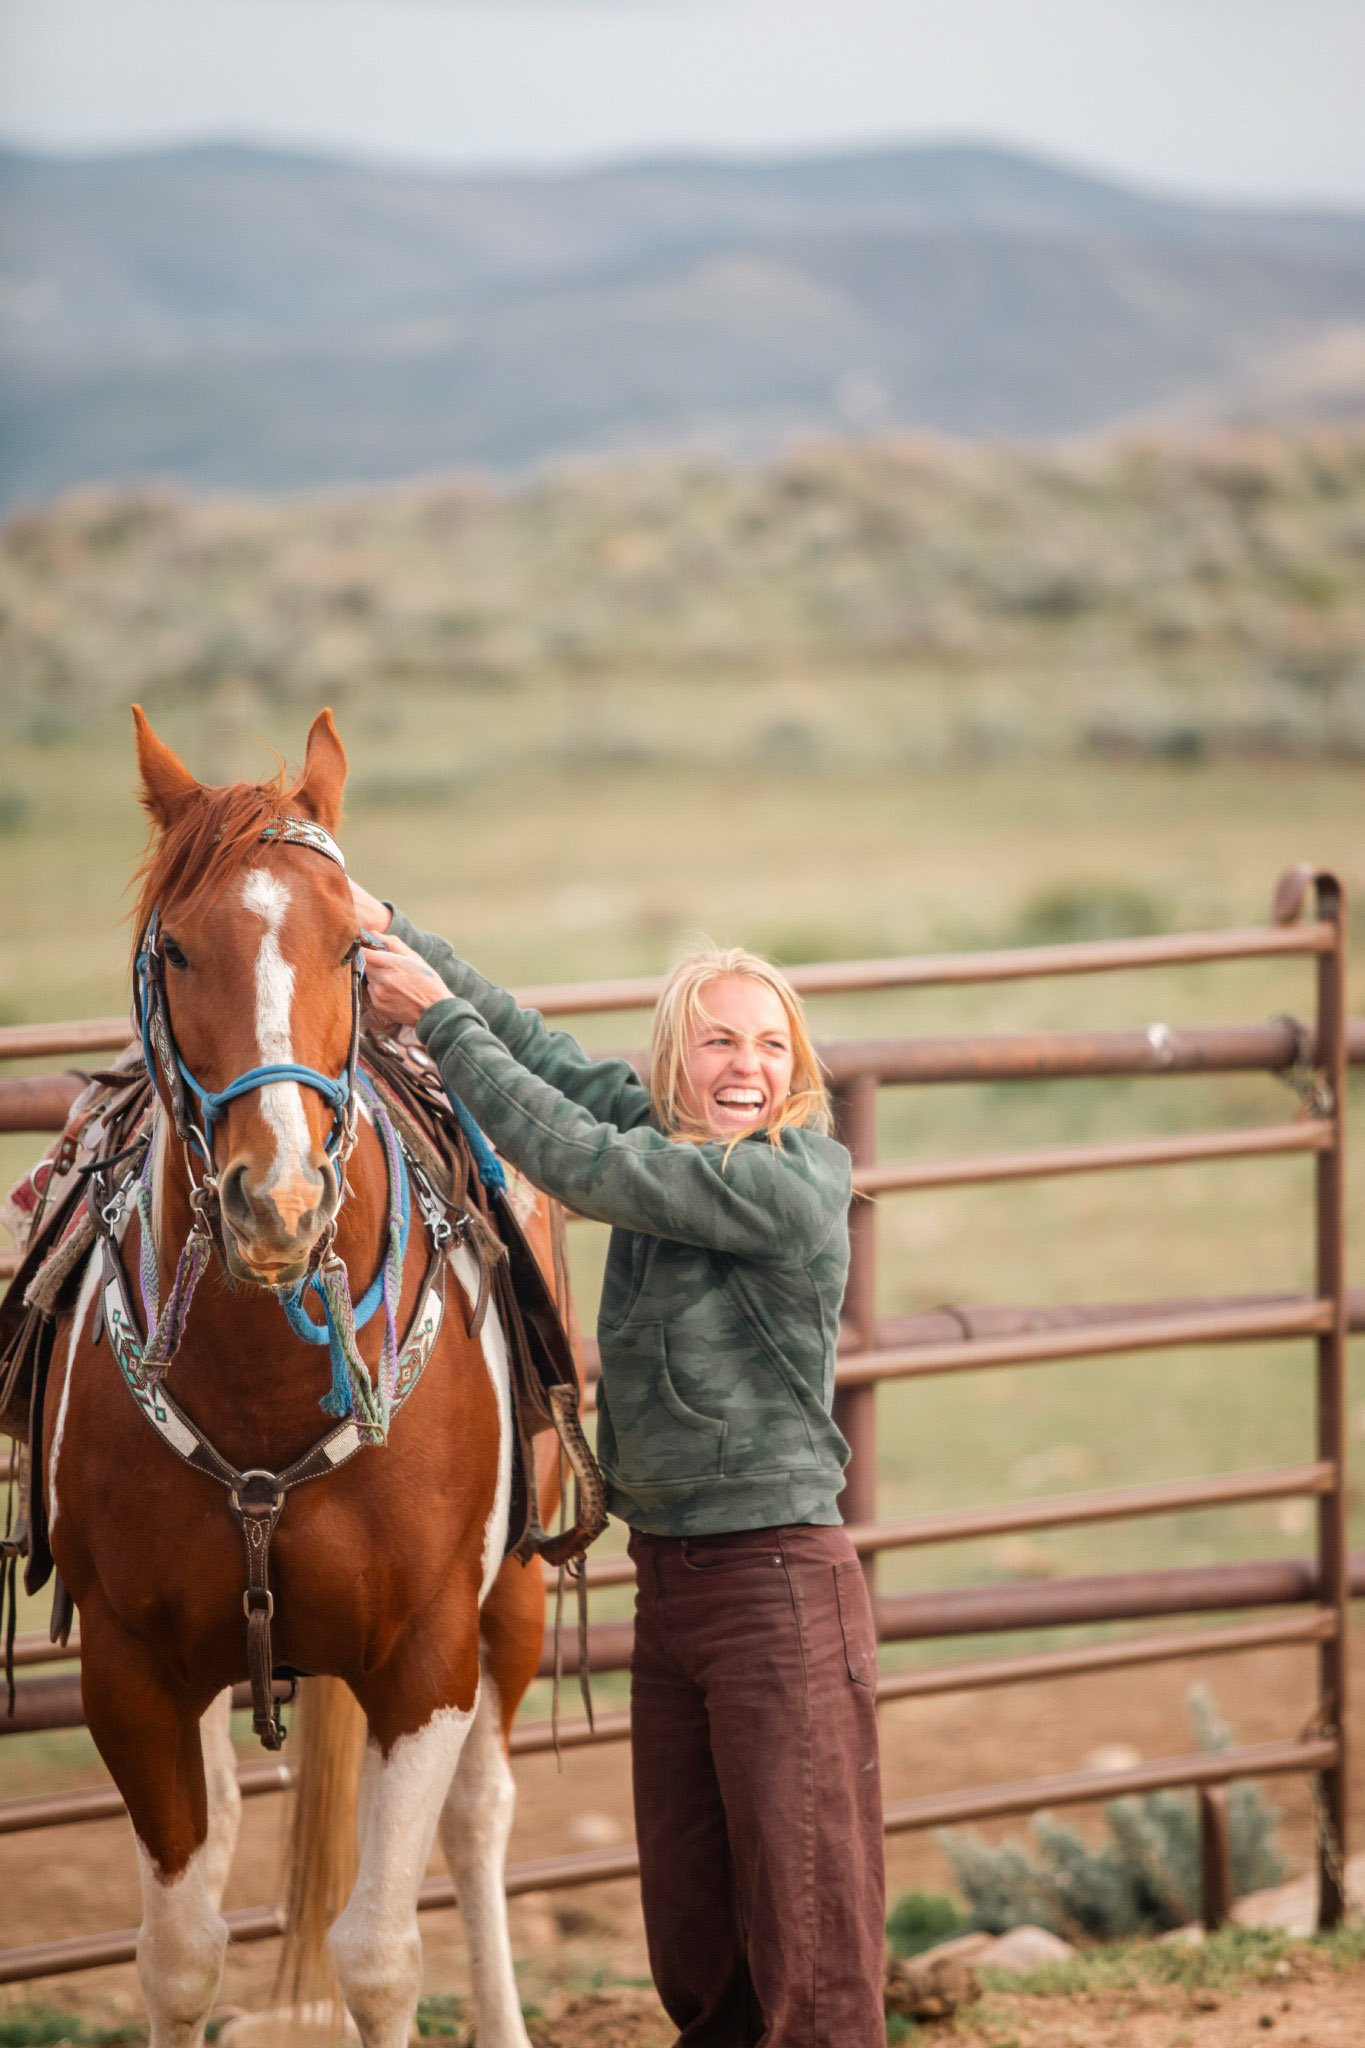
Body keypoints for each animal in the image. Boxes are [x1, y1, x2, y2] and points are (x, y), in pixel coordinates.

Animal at [39, 707, 572, 2048]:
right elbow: (180, 1953)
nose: (275, 1200)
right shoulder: (131, 1671)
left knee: (480, 1818)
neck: (266, 1384)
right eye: (176, 948)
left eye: (351, 941)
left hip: (513, 1602)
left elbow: (378, 1955)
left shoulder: (426, 1658)